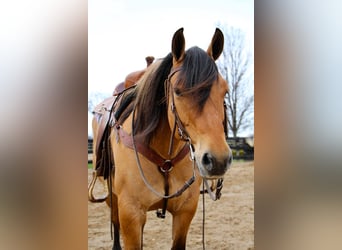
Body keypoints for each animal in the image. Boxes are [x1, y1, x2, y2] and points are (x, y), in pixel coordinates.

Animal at [88, 27, 232, 250]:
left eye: (224, 91)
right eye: (178, 91)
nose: (218, 160)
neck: (165, 157)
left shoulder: (184, 212)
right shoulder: (130, 213)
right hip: (112, 196)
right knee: (115, 222)